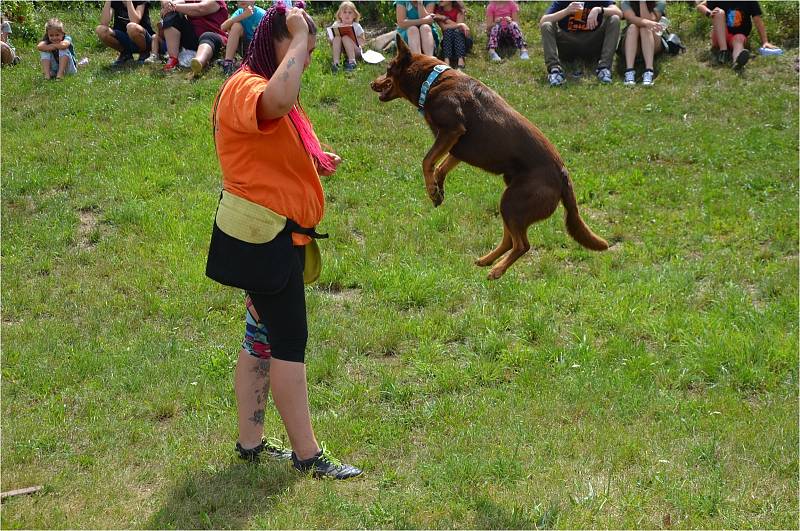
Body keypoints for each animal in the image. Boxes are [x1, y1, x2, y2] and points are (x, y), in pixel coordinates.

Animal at [372, 35, 608, 280]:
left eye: (388, 69)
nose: (372, 83)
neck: (433, 80)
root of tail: (563, 174)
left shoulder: (451, 131)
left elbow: (427, 161)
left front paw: (432, 191)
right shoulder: (457, 147)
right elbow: (440, 167)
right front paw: (438, 191)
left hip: (513, 202)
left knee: (522, 245)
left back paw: (497, 270)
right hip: (510, 203)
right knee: (510, 241)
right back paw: (487, 260)